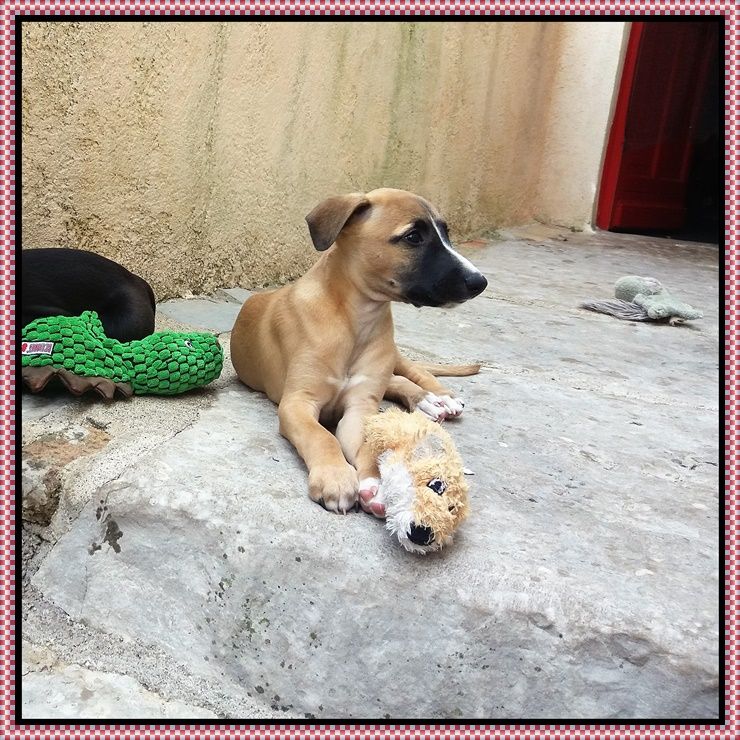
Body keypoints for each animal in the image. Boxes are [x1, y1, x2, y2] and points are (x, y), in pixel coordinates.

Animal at [230, 188, 487, 516]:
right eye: (413, 237)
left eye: (446, 232)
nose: (479, 282)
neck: (357, 318)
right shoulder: (298, 403)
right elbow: (322, 436)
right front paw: (336, 478)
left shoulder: (360, 407)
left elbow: (367, 445)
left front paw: (374, 482)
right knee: (396, 381)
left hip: (392, 356)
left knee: (412, 372)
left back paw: (439, 397)